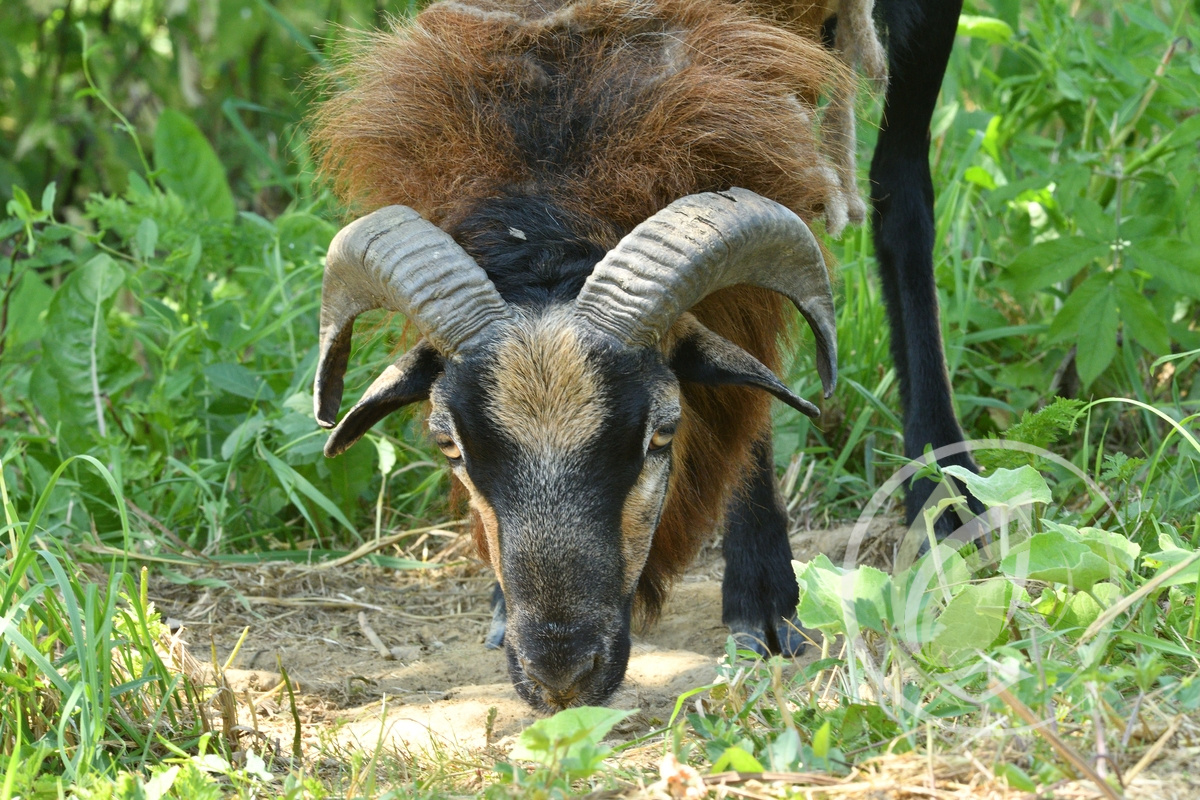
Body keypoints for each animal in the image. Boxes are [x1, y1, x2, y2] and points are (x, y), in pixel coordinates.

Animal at [310, 0, 975, 711]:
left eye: (661, 434)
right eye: (449, 446)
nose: (562, 675)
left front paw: (763, 599)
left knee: (901, 198)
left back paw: (948, 498)